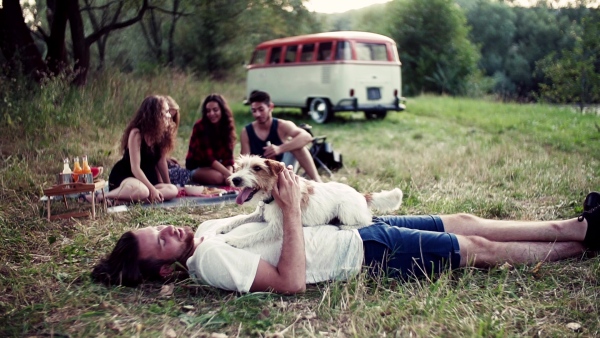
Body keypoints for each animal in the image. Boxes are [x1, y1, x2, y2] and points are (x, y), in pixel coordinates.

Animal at [216, 154, 404, 247]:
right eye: (240, 167)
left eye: (257, 168)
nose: (235, 179)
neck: (272, 196)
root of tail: (361, 195)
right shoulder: (260, 214)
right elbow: (239, 219)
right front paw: (224, 227)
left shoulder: (278, 228)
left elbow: (254, 235)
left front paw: (235, 241)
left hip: (345, 210)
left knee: (367, 221)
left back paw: (345, 226)